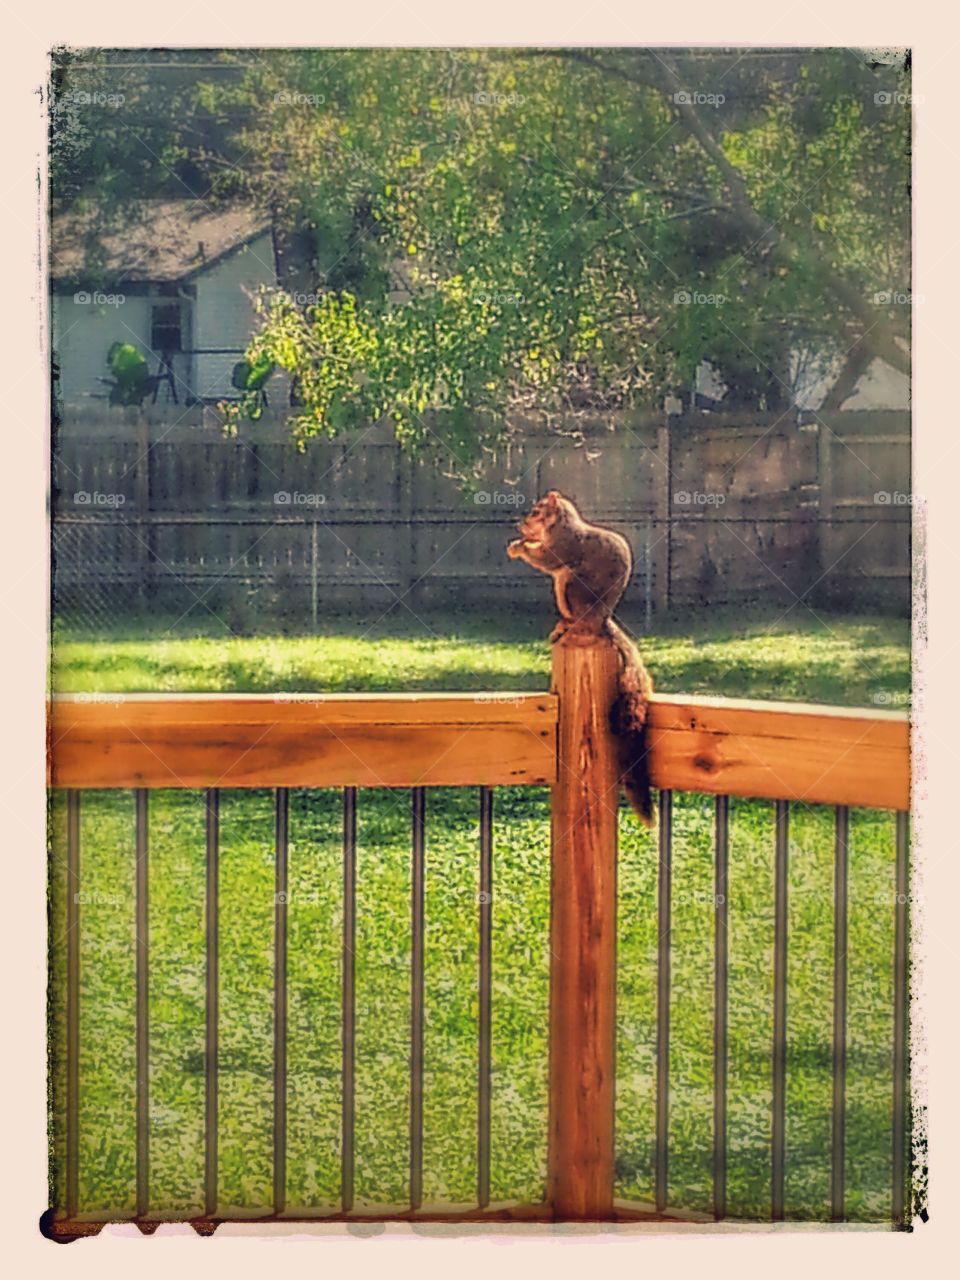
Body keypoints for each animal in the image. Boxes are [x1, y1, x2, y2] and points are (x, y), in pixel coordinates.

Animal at [507, 490, 655, 826]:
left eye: (536, 511)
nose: (520, 525)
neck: (560, 524)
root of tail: (601, 622)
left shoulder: (564, 546)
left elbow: (546, 559)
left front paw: (520, 547)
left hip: (571, 586)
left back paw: (568, 627)